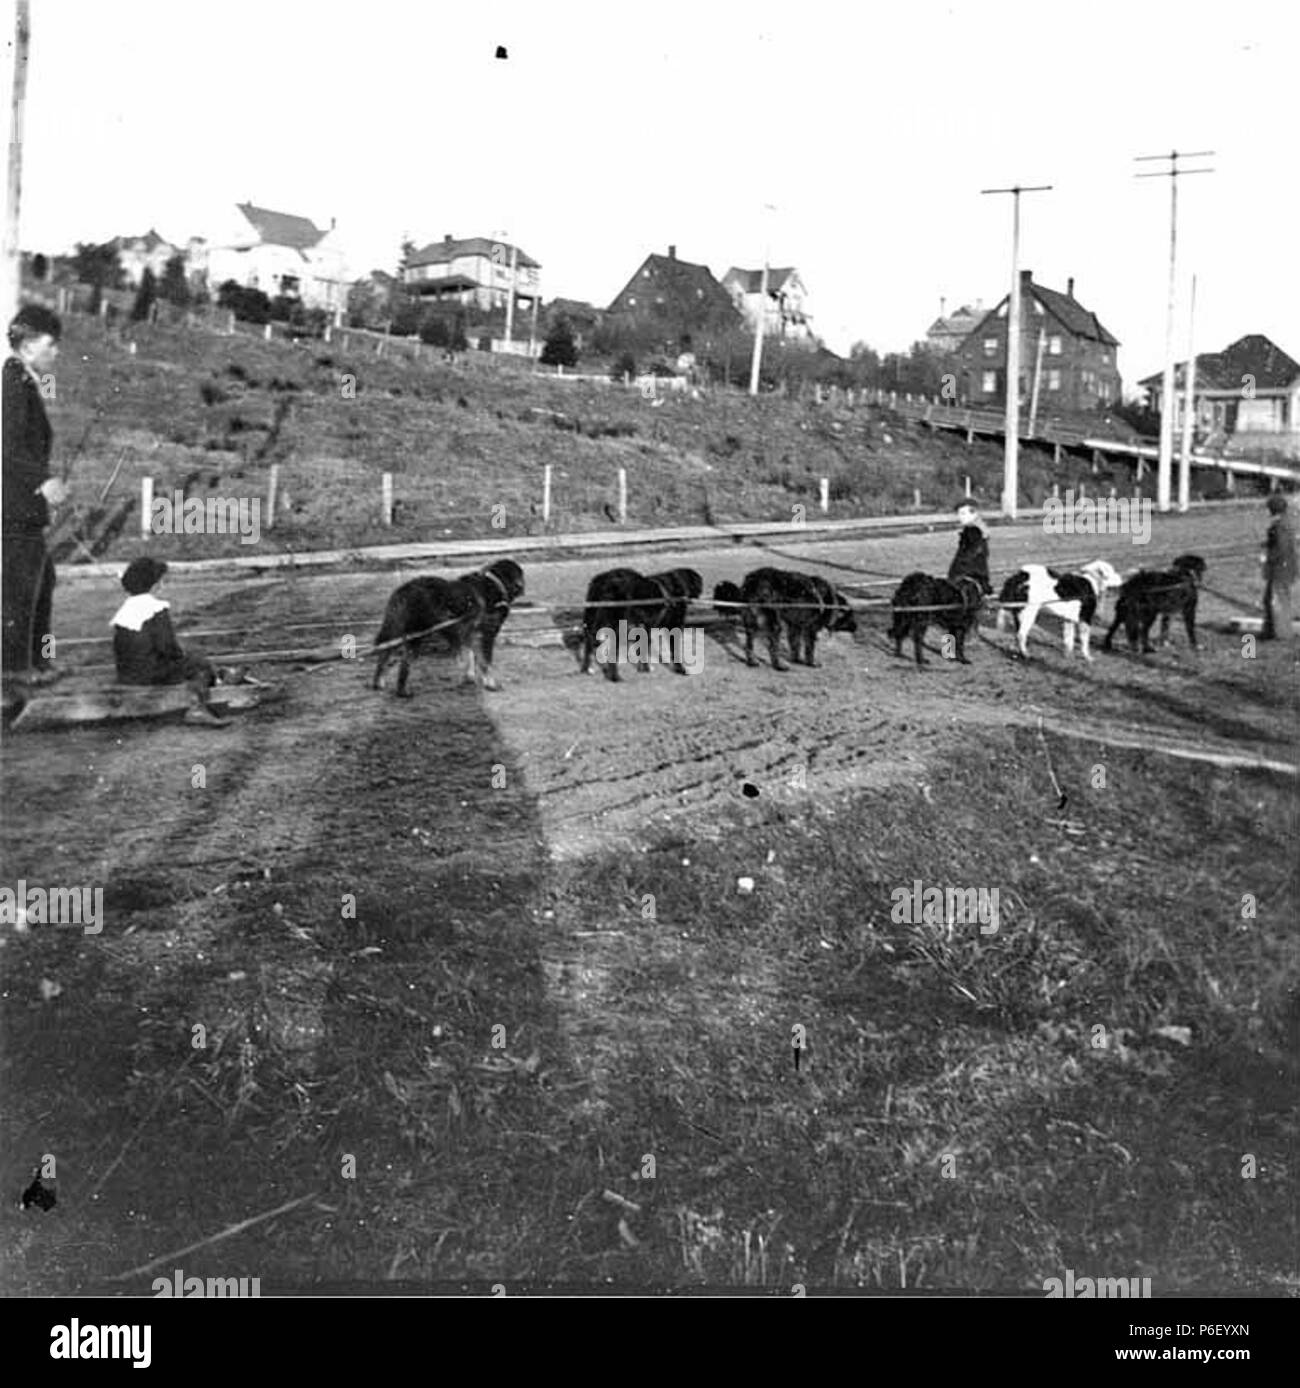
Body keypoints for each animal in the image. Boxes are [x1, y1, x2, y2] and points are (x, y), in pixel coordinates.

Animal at [369, 557, 521, 699]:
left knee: (384, 655)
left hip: (396, 630)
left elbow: (469, 657)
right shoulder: (485, 635)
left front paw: (469, 678)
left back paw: (378, 683)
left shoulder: (467, 635)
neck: (494, 583)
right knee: (404, 663)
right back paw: (402, 691)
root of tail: (404, 590)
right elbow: (485, 662)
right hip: (416, 635)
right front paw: (491, 684)